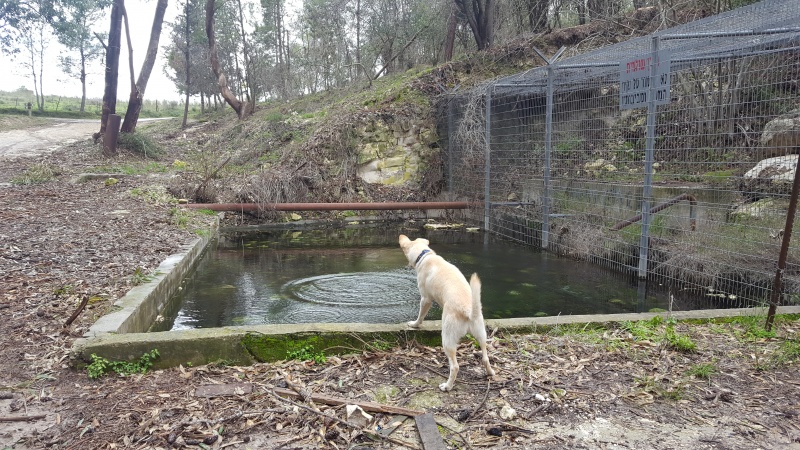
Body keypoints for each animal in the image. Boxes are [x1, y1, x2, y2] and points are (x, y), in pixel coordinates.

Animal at [398, 236, 494, 390]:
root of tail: (468, 311)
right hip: (481, 334)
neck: (426, 256)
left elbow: (420, 316)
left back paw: (447, 386)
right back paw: (490, 373)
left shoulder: (425, 299)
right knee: (485, 358)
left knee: (455, 367)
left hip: (447, 338)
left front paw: (414, 324)